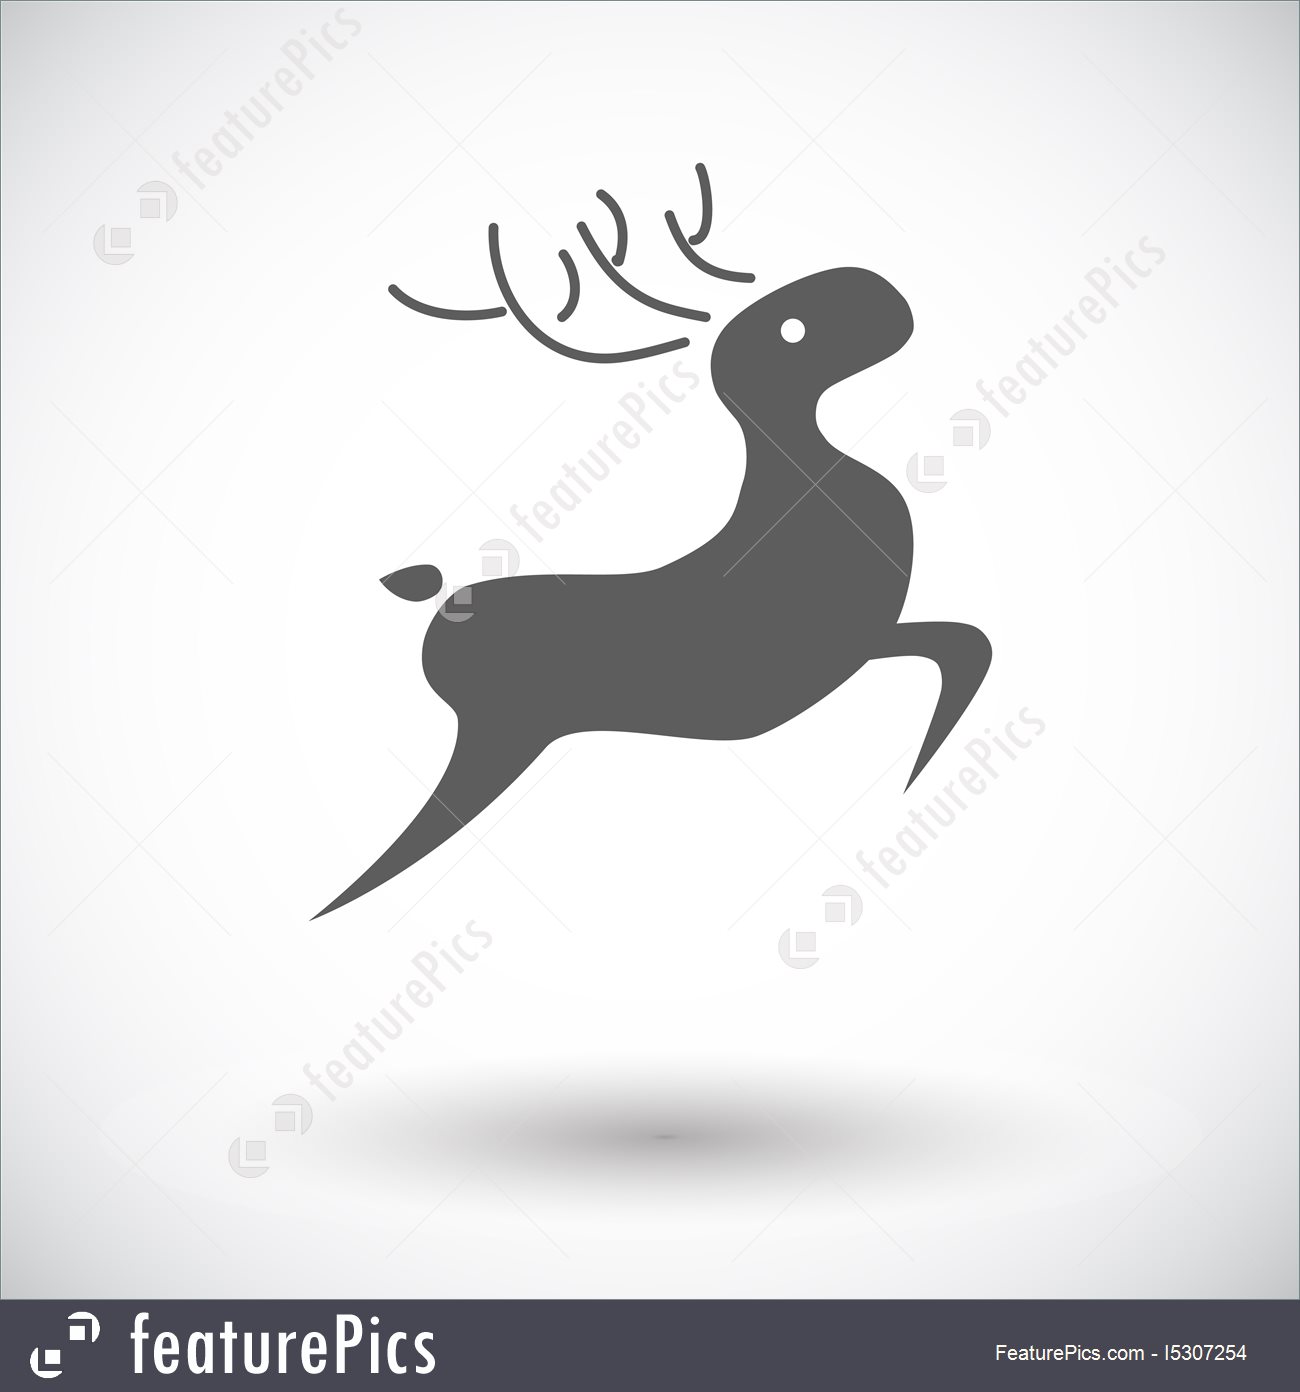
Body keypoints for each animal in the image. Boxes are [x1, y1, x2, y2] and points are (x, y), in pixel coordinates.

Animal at [316, 166, 991, 917]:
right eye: (796, 330)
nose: (884, 293)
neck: (807, 478)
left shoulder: (861, 639)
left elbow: (964, 640)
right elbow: (966, 644)